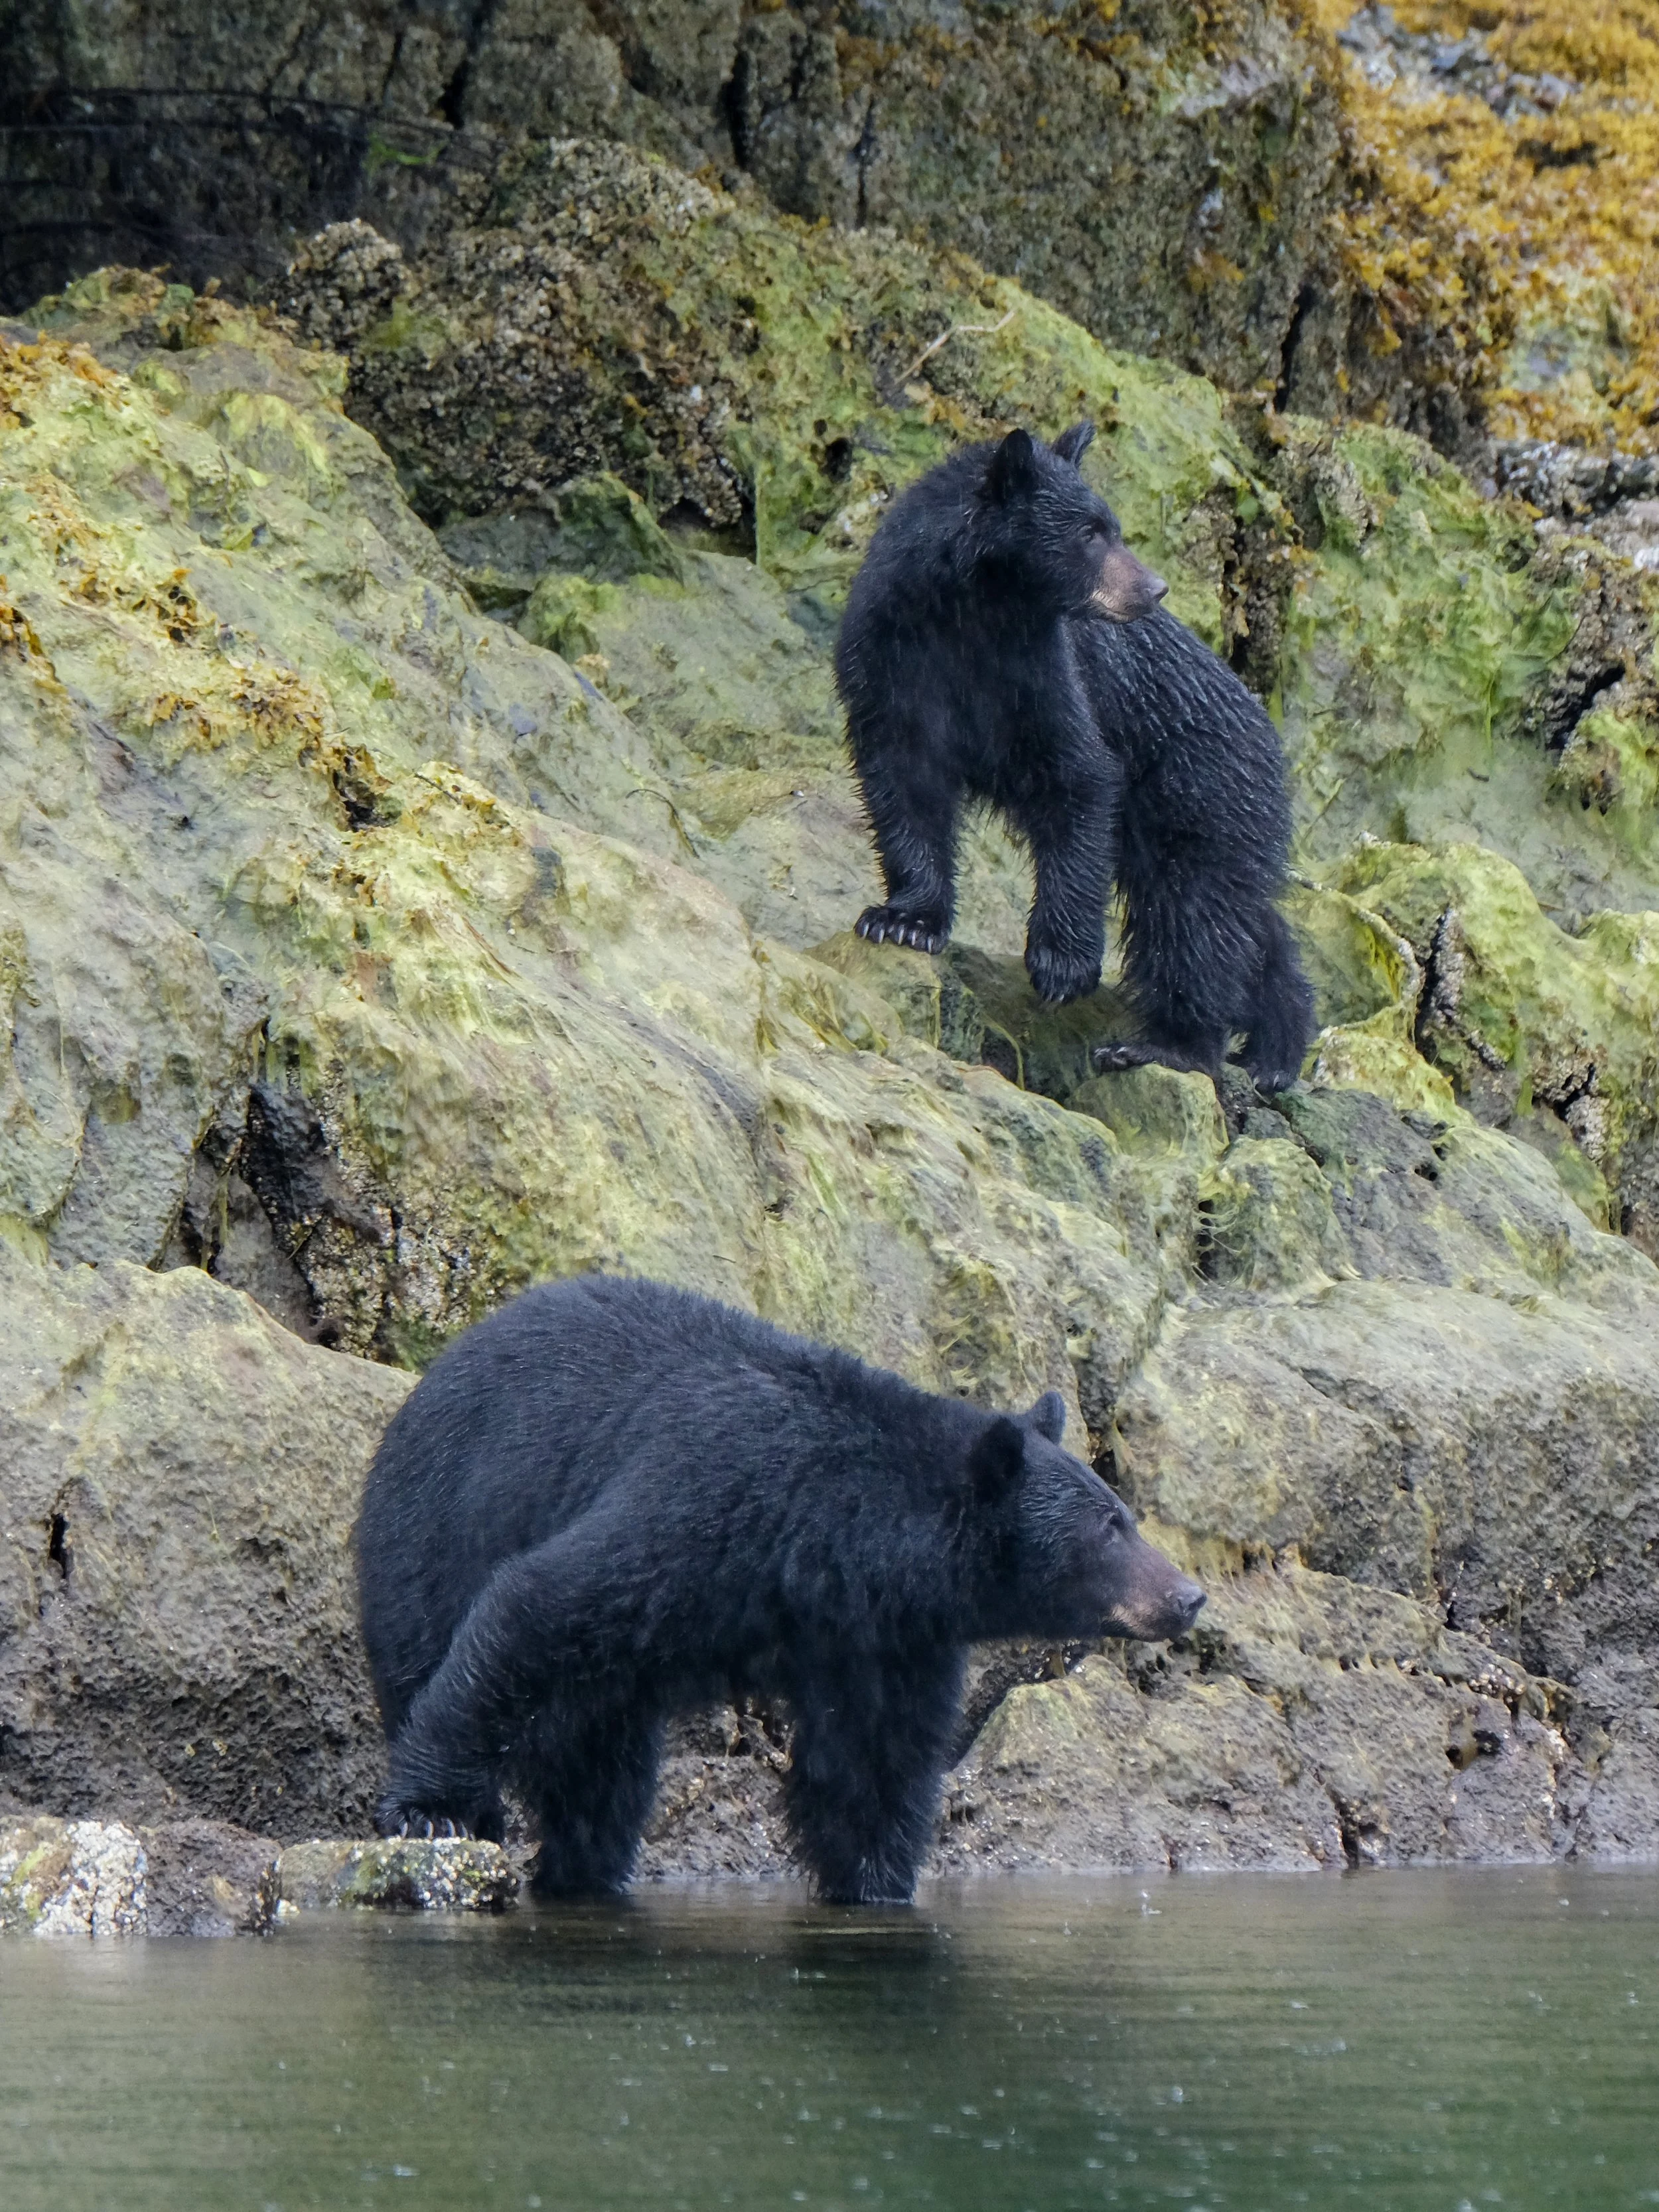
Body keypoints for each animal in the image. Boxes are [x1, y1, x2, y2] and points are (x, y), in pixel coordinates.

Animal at [356, 1273, 1204, 1905]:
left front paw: (877, 1881)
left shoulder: (879, 1636)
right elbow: (540, 1605)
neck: (838, 1537)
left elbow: (873, 1764)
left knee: (605, 1773)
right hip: (426, 1537)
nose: (1189, 1594)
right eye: (1111, 1526)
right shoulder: (707, 1507)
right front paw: (430, 1813)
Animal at [834, 419, 1316, 1092]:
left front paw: (1061, 964)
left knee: (1195, 918)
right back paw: (1273, 1051)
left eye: (1112, 525)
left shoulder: (1048, 676)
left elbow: (1080, 782)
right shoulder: (890, 662)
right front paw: (902, 920)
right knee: (1241, 921)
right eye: (1089, 533)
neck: (974, 615)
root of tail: (1270, 739)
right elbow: (905, 785)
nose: (1155, 588)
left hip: (1201, 788)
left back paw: (1168, 1046)